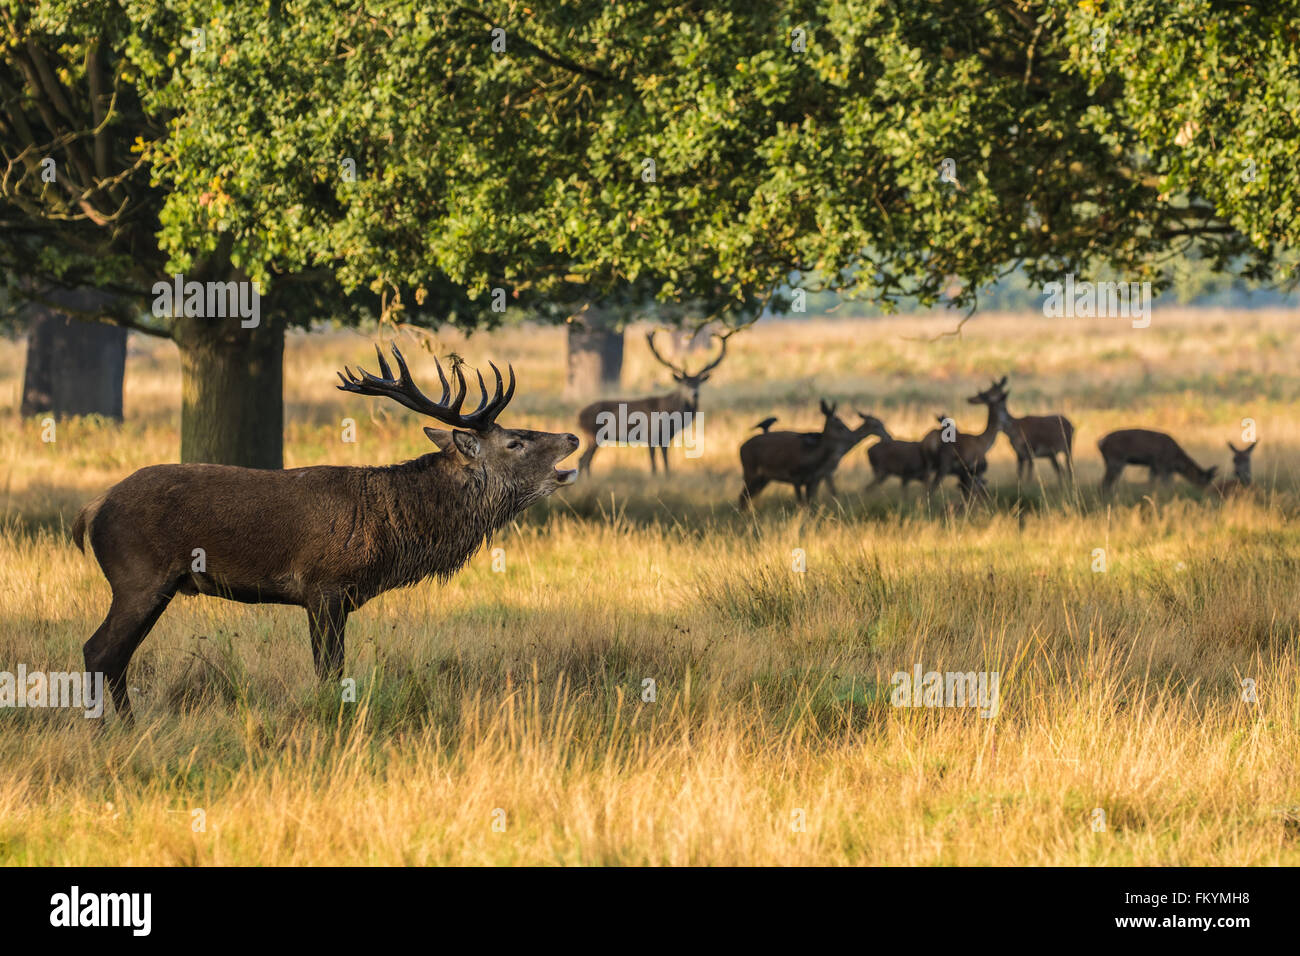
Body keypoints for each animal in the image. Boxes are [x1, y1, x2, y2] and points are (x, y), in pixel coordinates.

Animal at [71, 345, 580, 723]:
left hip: (159, 585)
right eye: (515, 441)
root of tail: (91, 510)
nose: (572, 438)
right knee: (98, 650)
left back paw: (129, 727)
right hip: (138, 575)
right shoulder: (324, 586)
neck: (391, 530)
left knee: (118, 655)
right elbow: (330, 672)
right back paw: (108, 731)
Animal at [576, 329, 730, 475]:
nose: (695, 393)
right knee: (583, 459)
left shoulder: (666, 438)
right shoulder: (649, 434)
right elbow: (653, 464)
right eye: (684, 384)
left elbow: (666, 462)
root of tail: (578, 417)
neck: (669, 415)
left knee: (585, 460)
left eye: (698, 383)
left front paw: (668, 477)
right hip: (592, 434)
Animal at [738, 400, 887, 507]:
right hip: (750, 473)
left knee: (749, 496)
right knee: (743, 497)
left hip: (764, 478)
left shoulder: (815, 478)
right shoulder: (797, 477)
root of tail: (741, 447)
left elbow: (813, 500)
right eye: (840, 425)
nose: (851, 437)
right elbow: (803, 502)